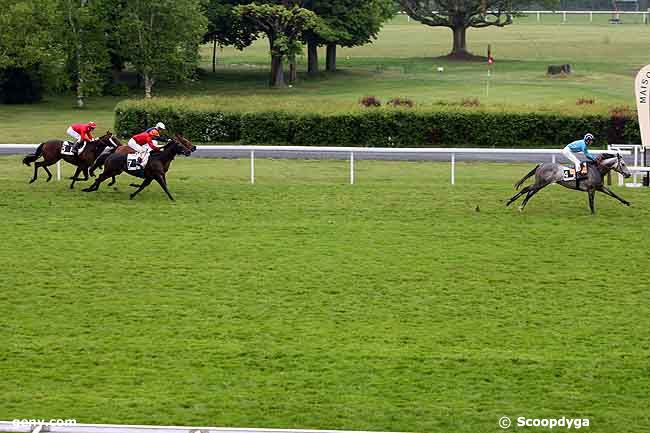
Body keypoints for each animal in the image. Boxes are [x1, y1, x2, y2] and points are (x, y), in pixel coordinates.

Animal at [504, 154, 632, 214]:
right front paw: (593, 213)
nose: (629, 174)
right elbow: (591, 203)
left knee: (529, 193)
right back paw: (509, 202)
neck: (597, 169)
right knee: (526, 189)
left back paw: (520, 207)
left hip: (541, 184)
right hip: (541, 183)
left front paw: (627, 202)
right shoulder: (591, 189)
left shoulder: (599, 187)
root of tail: (541, 165)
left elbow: (614, 194)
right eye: (623, 164)